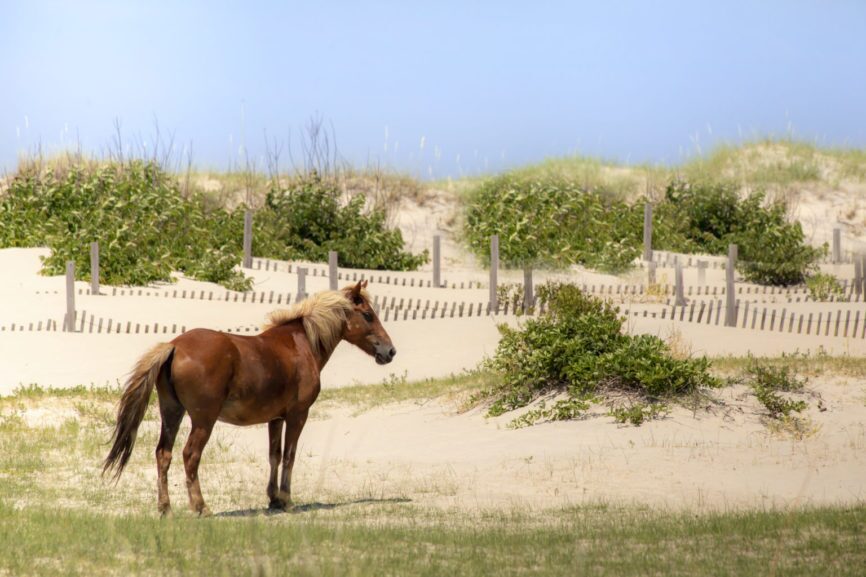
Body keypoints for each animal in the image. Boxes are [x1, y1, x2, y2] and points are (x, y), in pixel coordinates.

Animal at [102, 280, 395, 516]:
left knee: (164, 454)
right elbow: (290, 456)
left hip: (172, 412)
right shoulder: (298, 415)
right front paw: (287, 500)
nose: (390, 351)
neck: (301, 343)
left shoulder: (275, 418)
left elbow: (274, 455)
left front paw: (273, 499)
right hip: (203, 420)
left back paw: (165, 509)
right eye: (368, 315)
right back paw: (200, 507)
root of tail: (174, 345)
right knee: (190, 456)